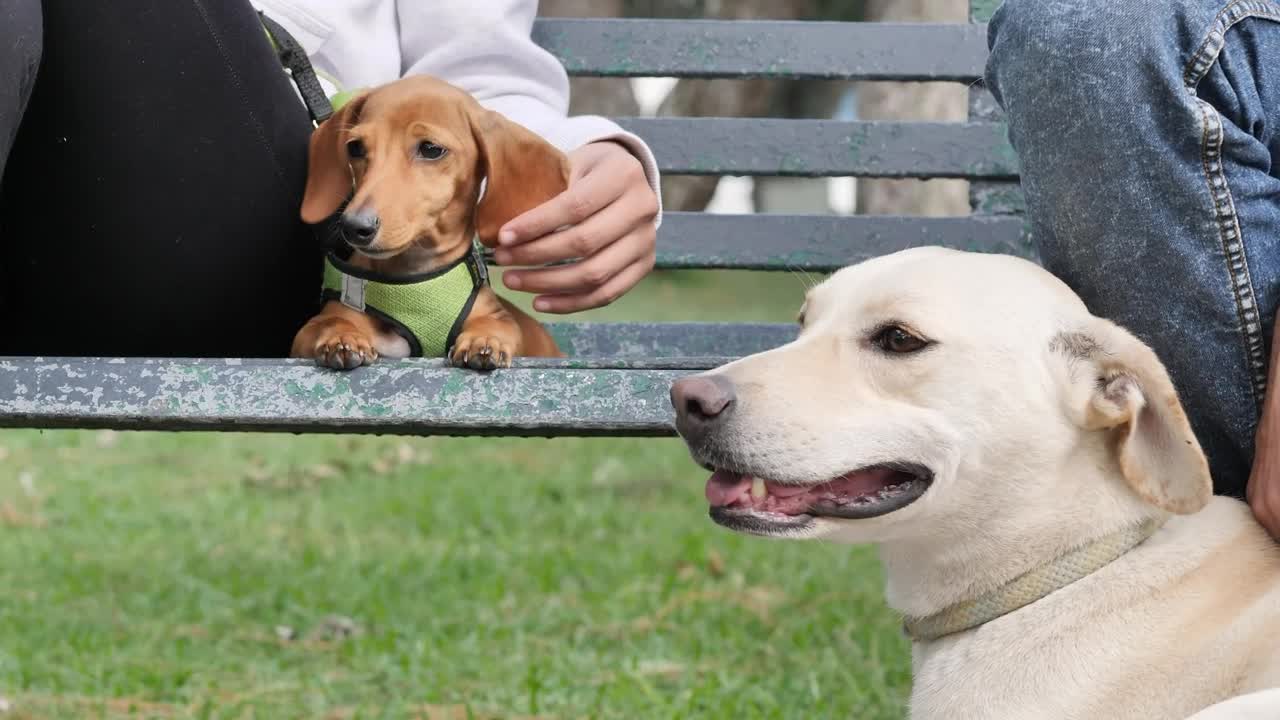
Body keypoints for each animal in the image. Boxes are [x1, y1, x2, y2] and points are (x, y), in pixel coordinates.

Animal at [296, 76, 568, 368]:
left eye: (431, 149)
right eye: (355, 147)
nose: (354, 227)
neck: (417, 275)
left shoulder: (497, 315)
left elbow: (499, 325)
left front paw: (485, 339)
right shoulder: (322, 321)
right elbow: (328, 322)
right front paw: (340, 336)